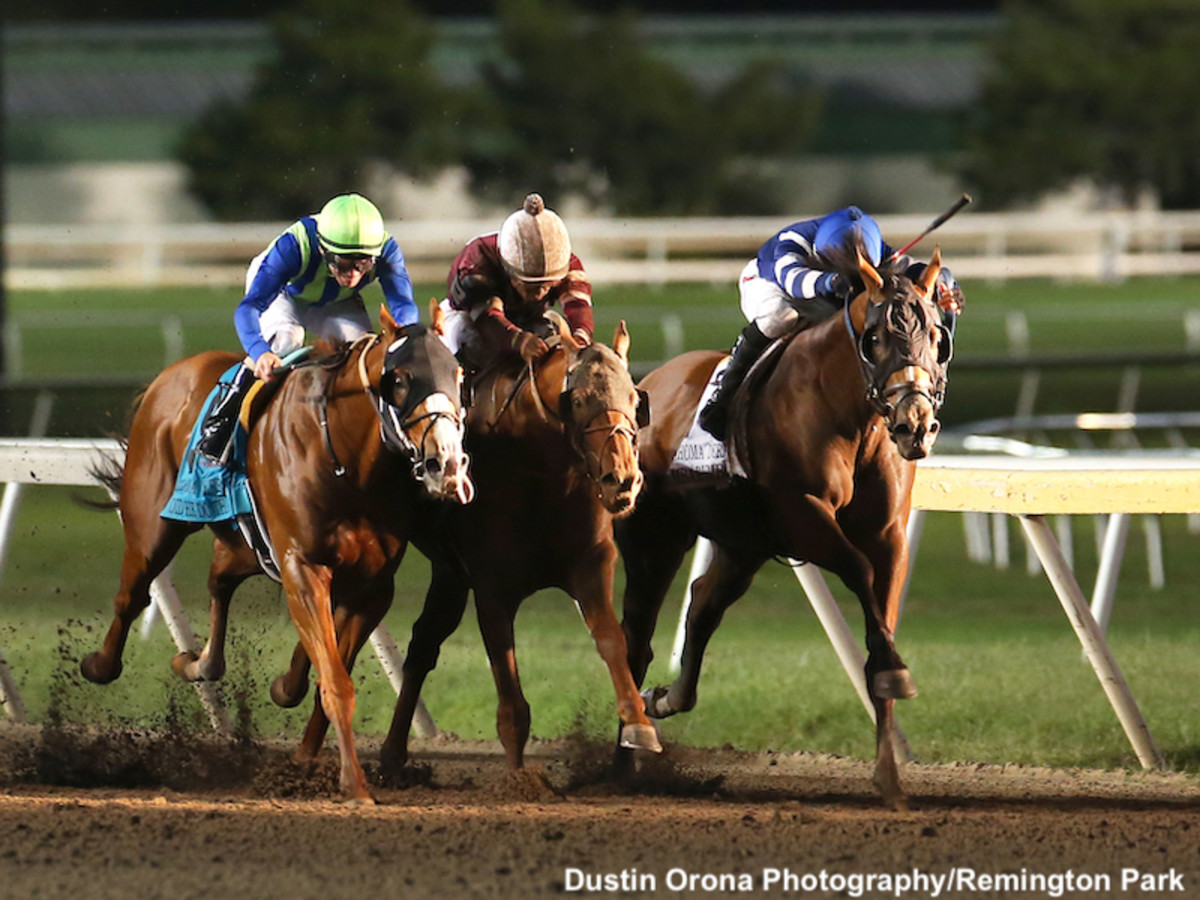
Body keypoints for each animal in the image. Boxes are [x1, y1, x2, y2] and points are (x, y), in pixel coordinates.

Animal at [79, 309, 470, 801]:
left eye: (458, 374)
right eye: (399, 379)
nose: (448, 464)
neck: (348, 461)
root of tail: (170, 375)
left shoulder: (372, 585)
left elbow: (329, 671)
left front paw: (307, 752)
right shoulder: (302, 566)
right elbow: (336, 681)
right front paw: (354, 783)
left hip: (246, 544)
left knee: (219, 577)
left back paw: (200, 662)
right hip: (154, 524)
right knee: (132, 595)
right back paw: (101, 664)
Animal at [274, 314, 667, 772]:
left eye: (634, 398)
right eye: (580, 398)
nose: (622, 479)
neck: (544, 477)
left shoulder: (589, 567)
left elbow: (612, 640)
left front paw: (639, 724)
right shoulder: (493, 588)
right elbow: (511, 701)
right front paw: (518, 777)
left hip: (448, 574)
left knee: (423, 643)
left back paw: (389, 752)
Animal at [619, 244, 945, 811]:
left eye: (935, 332)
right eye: (875, 337)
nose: (915, 424)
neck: (848, 415)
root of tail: (647, 385)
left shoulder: (888, 537)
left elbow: (879, 618)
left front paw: (889, 774)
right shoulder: (803, 515)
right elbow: (858, 571)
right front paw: (894, 672)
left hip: (741, 545)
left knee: (702, 605)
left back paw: (663, 699)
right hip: (652, 544)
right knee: (633, 638)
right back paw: (622, 757)